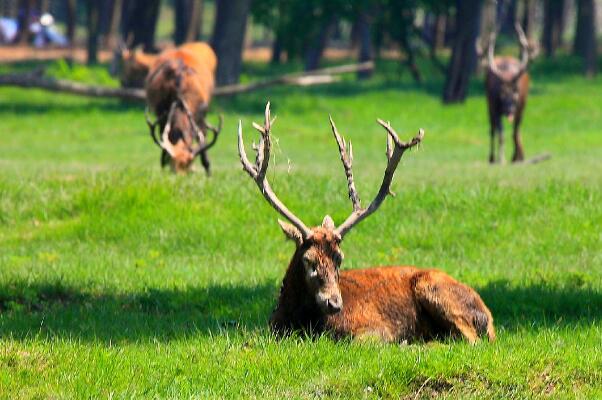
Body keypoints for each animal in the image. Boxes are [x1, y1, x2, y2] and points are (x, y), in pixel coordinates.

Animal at [144, 42, 221, 175]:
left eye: (188, 168)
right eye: (173, 169)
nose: (180, 177)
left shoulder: (202, 112)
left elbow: (203, 141)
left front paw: (209, 173)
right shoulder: (161, 112)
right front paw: (163, 167)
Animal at [237, 101, 494, 342]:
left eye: (339, 259)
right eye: (308, 260)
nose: (334, 304)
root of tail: (489, 318)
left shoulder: (376, 329)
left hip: (433, 287)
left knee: (470, 340)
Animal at [480, 23, 532, 164]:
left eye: (516, 94)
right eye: (501, 95)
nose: (509, 111)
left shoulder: (521, 107)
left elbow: (515, 131)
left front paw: (517, 157)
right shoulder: (495, 107)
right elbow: (501, 134)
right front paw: (501, 159)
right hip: (489, 105)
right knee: (492, 129)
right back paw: (492, 158)